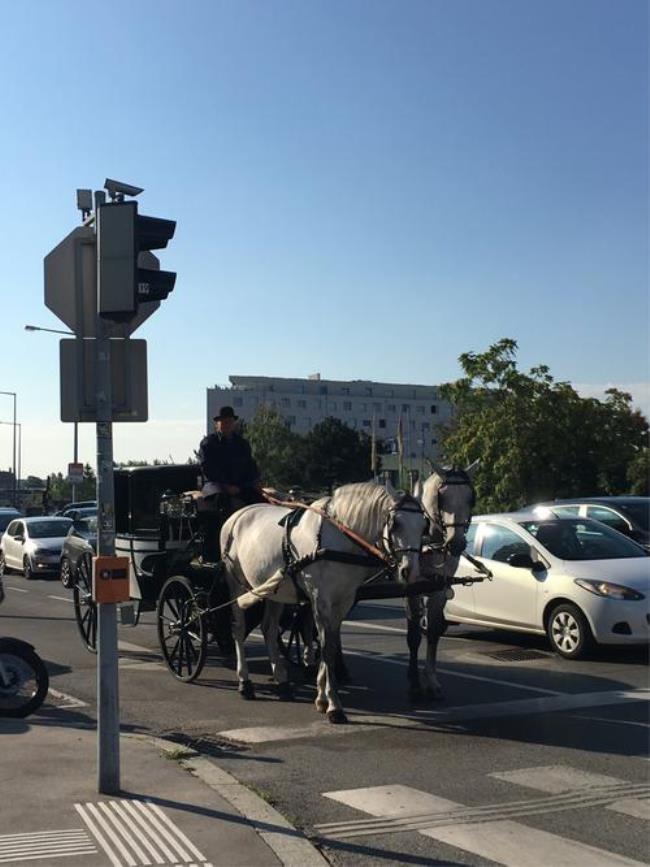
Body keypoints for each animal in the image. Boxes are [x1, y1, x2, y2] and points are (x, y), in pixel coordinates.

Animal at [220, 484, 428, 724]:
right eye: (395, 524)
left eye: (423, 526)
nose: (410, 572)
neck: (339, 539)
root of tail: (237, 515)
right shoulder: (321, 600)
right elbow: (327, 647)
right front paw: (334, 705)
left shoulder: (343, 601)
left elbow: (330, 643)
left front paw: (321, 698)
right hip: (234, 582)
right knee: (238, 628)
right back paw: (244, 682)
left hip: (274, 591)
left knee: (269, 630)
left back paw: (282, 681)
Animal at [408, 464, 478, 700]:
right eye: (441, 497)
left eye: (471, 498)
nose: (456, 543)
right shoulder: (411, 589)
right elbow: (414, 634)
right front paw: (415, 685)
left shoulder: (438, 589)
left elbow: (434, 631)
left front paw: (431, 680)